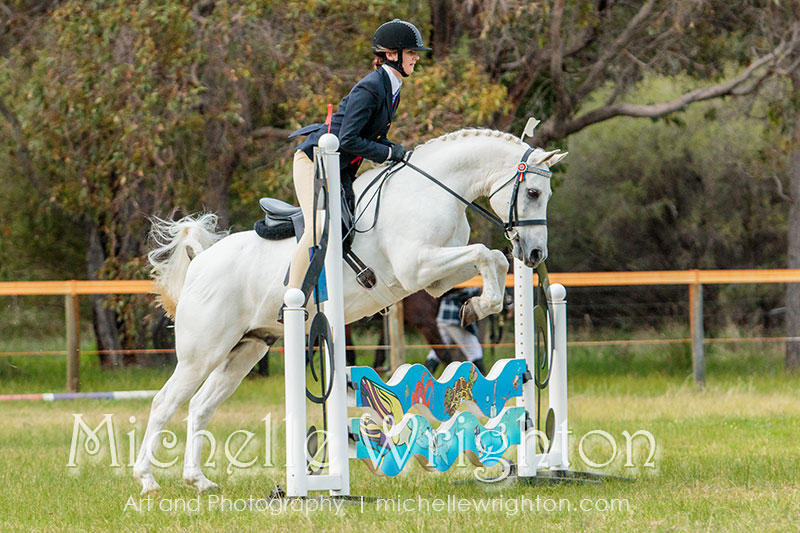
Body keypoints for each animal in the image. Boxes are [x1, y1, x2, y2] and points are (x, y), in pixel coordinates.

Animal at [133, 127, 568, 492]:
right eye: (532, 193)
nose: (535, 254)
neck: (433, 191)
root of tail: (200, 262)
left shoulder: (434, 279)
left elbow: (493, 258)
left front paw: (477, 307)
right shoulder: (417, 265)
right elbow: (484, 252)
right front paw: (478, 306)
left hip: (245, 350)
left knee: (200, 406)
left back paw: (199, 481)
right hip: (203, 353)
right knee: (165, 403)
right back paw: (148, 480)